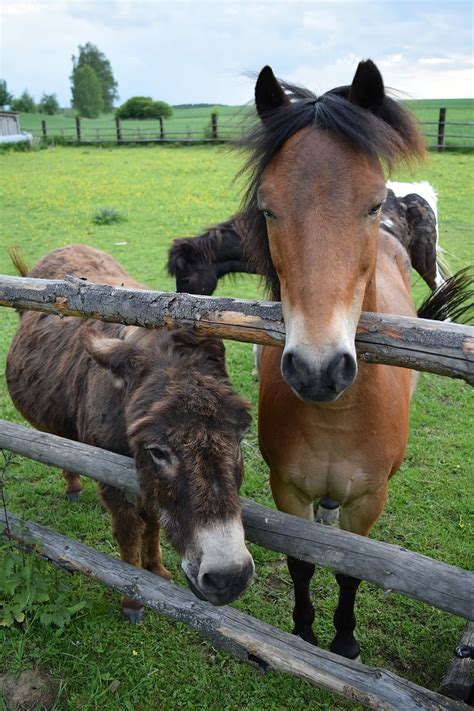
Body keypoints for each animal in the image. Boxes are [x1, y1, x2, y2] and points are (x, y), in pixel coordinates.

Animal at [5, 246, 254, 624]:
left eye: (239, 438)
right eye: (157, 450)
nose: (229, 578)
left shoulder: (148, 485)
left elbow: (152, 522)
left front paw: (156, 570)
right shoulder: (113, 478)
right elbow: (129, 530)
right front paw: (133, 598)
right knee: (61, 448)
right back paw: (73, 485)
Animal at [241, 61, 470, 660]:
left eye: (367, 205)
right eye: (268, 209)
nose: (318, 370)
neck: (335, 419)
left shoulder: (369, 500)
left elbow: (351, 570)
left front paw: (344, 642)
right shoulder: (288, 491)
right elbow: (302, 563)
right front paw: (302, 632)